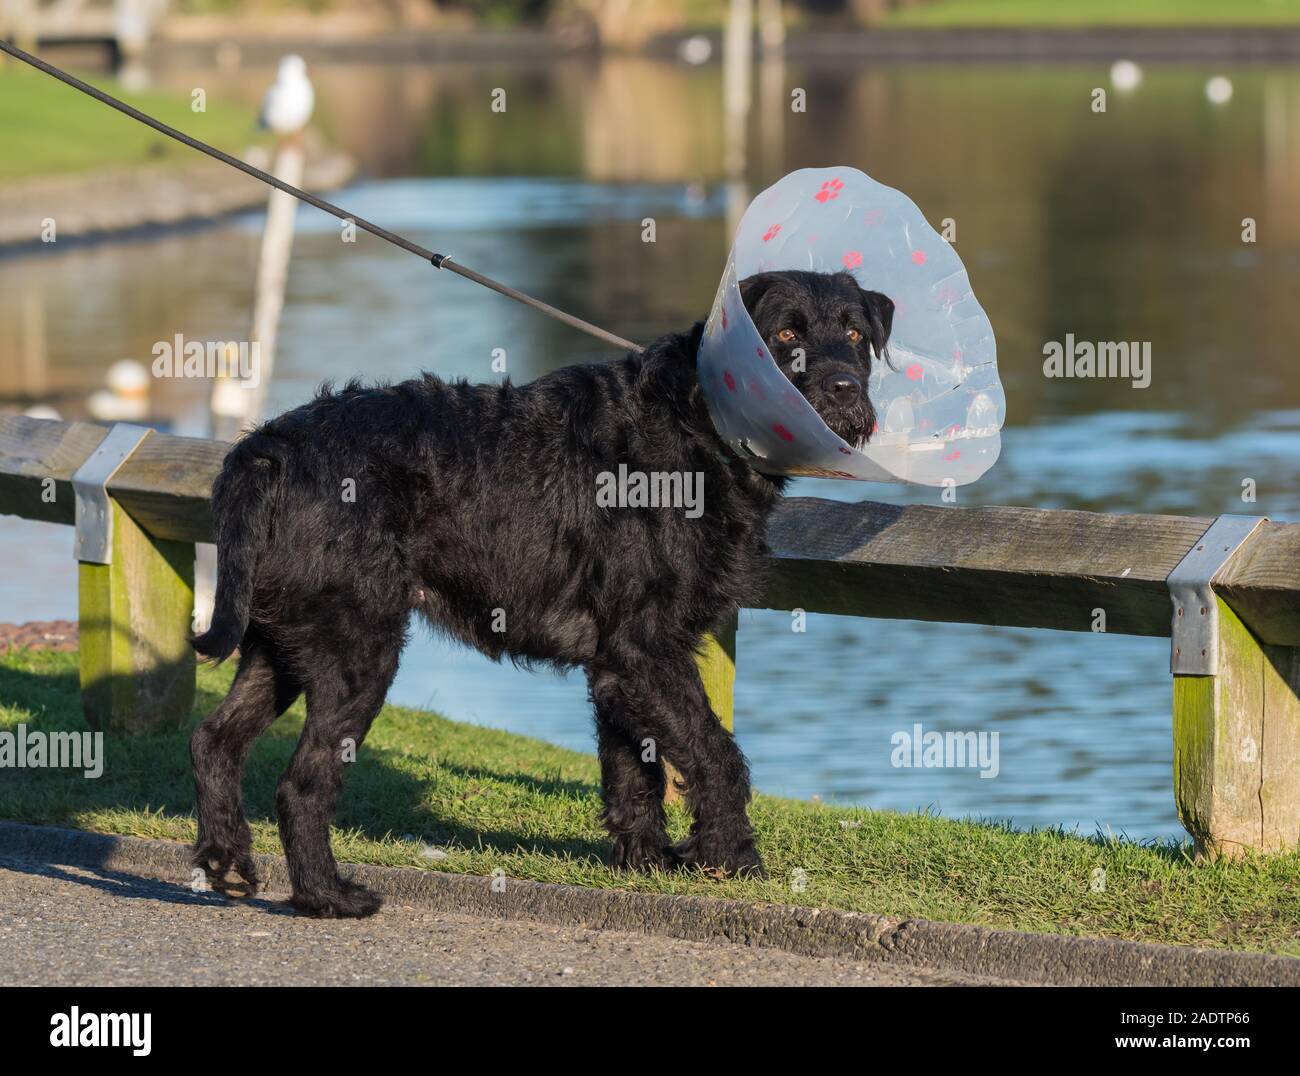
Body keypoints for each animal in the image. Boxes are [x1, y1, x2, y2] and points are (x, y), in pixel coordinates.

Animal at [188, 269, 889, 914]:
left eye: (855, 333)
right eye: (786, 334)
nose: (844, 388)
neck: (700, 422)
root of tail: (265, 450)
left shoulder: (619, 667)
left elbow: (634, 768)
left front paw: (646, 861)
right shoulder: (647, 650)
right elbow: (717, 755)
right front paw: (733, 858)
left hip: (280, 647)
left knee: (214, 740)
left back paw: (225, 861)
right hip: (356, 657)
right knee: (301, 784)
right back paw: (327, 895)